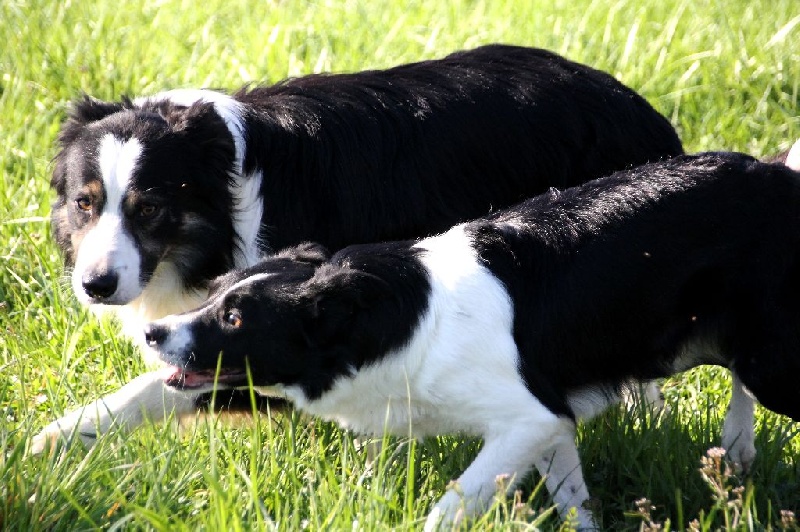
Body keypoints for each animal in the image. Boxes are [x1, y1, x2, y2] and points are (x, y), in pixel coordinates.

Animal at [32, 44, 680, 448]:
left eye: (149, 208)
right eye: (85, 203)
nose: (95, 286)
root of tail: (641, 109)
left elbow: (180, 380)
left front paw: (61, 436)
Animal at [144, 153, 800, 528]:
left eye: (235, 319)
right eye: (213, 295)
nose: (152, 332)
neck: (398, 321)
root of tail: (780, 174)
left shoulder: (527, 420)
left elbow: (450, 507)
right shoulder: (551, 424)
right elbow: (575, 503)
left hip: (775, 362)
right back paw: (737, 447)